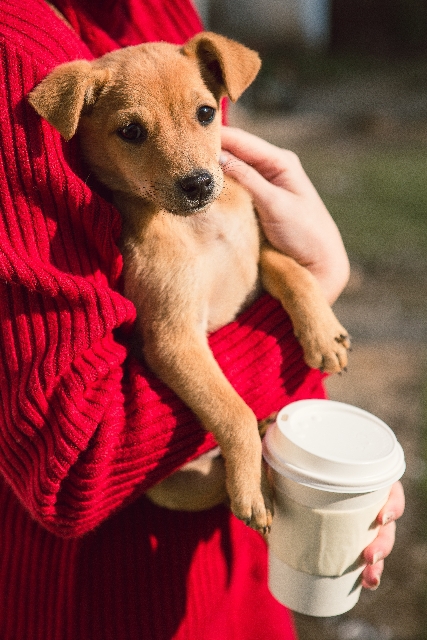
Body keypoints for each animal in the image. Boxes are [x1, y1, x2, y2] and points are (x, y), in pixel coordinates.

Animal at [29, 32, 352, 532]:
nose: (198, 184)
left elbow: (294, 272)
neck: (201, 226)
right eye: (131, 132)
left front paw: (323, 335)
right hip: (175, 488)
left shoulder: (256, 257)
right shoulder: (174, 339)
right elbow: (233, 411)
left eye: (205, 112)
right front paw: (251, 488)